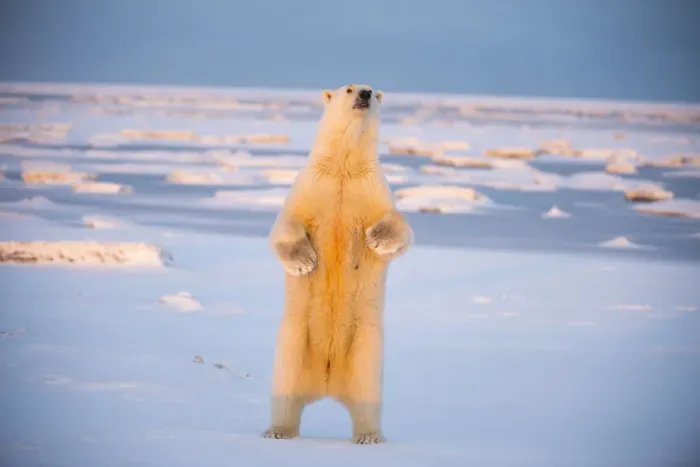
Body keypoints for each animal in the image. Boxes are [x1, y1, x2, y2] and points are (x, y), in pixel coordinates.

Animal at [263, 84, 413, 444]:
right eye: (349, 88)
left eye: (372, 89)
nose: (365, 93)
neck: (343, 166)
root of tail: (327, 385)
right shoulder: (310, 187)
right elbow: (285, 225)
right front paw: (304, 262)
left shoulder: (372, 190)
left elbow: (401, 228)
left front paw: (375, 238)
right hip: (293, 342)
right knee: (285, 391)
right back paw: (277, 431)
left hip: (366, 350)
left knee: (367, 397)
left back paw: (369, 437)